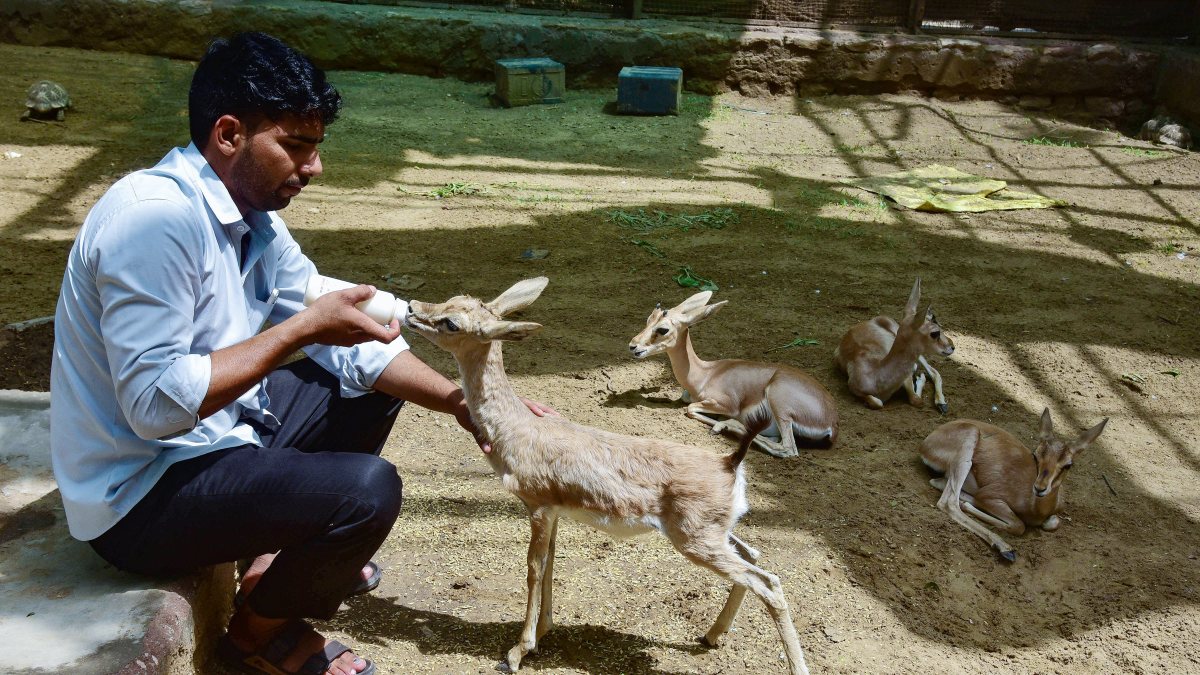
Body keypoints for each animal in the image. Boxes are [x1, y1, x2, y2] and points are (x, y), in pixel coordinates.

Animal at [404, 277, 811, 675]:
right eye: (452, 297)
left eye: (451, 322)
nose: (410, 309)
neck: (518, 431)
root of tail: (730, 462)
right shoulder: (555, 513)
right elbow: (551, 563)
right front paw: (544, 630)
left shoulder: (538, 507)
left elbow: (534, 568)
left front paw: (517, 652)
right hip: (714, 534)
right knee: (755, 557)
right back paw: (710, 636)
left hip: (696, 541)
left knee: (768, 583)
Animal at [628, 291, 838, 458]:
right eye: (648, 319)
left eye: (663, 329)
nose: (633, 346)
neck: (705, 374)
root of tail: (832, 422)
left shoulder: (726, 404)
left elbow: (690, 409)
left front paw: (720, 425)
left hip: (779, 403)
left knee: (787, 449)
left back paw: (727, 425)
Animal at [834, 277, 955, 413]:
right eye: (935, 333)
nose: (952, 347)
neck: (877, 377)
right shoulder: (854, 388)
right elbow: (878, 403)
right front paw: (920, 377)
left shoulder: (906, 377)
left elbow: (916, 399)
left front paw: (920, 378)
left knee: (933, 371)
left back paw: (942, 404)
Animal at [919, 408, 1108, 562]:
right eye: (1035, 455)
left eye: (1068, 464)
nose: (1039, 488)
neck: (1036, 509)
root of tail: (929, 439)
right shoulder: (989, 495)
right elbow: (1019, 526)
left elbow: (1052, 523)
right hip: (967, 446)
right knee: (948, 502)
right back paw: (1005, 548)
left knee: (939, 484)